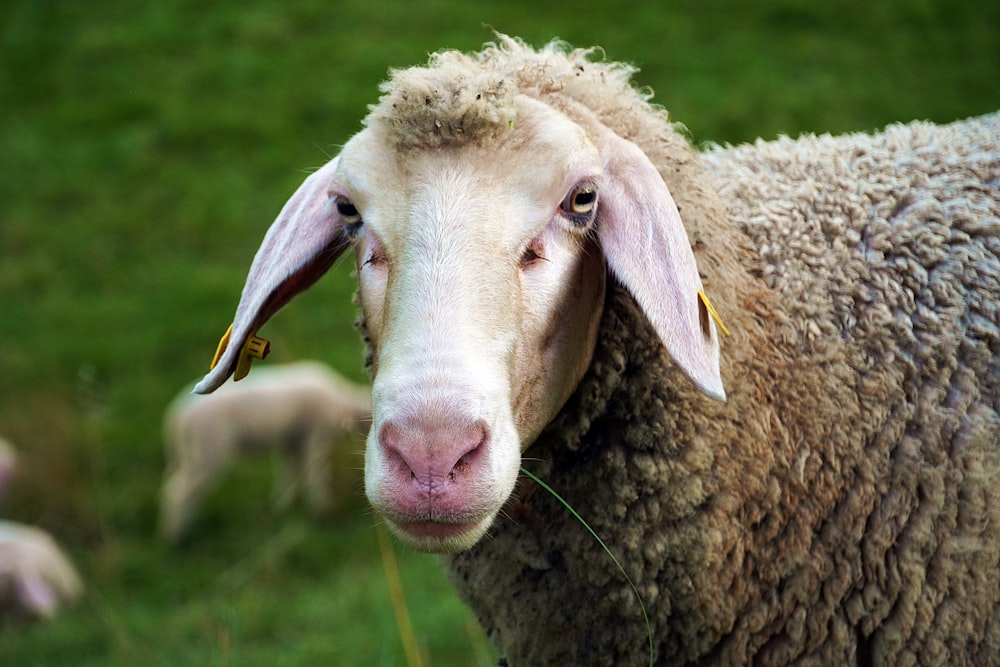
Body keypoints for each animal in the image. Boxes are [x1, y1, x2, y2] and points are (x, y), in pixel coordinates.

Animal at [158, 360, 370, 544]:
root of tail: (176, 417)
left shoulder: (291, 441)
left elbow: (291, 473)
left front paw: (284, 504)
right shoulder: (316, 435)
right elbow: (317, 474)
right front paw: (321, 509)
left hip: (189, 455)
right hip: (208, 450)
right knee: (177, 492)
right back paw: (175, 537)